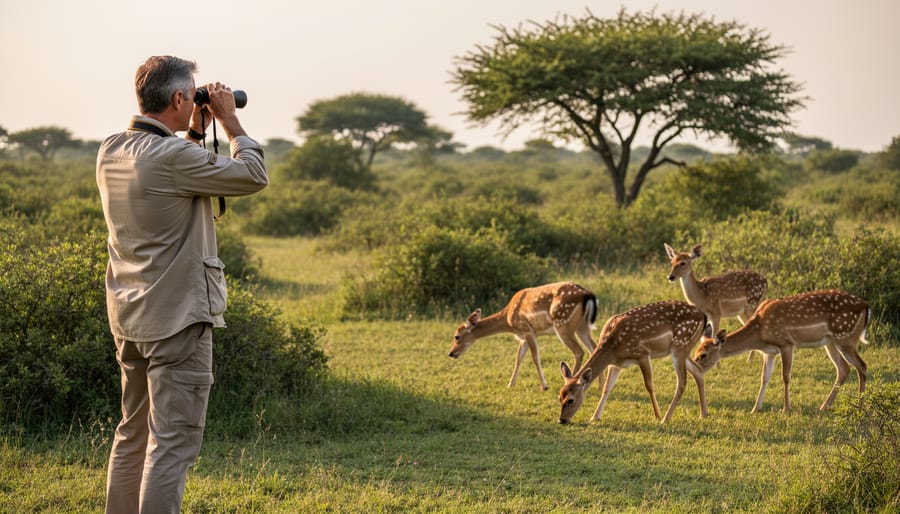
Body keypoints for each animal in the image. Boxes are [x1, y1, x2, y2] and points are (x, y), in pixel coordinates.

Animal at [448, 281, 598, 391]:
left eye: (457, 336)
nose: (451, 353)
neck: (508, 319)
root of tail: (587, 295)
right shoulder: (523, 337)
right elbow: (518, 358)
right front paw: (510, 384)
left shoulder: (527, 330)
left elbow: (535, 358)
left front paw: (544, 386)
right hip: (582, 327)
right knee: (594, 348)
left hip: (563, 325)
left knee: (579, 351)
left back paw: (570, 382)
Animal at [558, 300, 709, 424]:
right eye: (559, 397)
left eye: (571, 400)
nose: (561, 420)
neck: (612, 348)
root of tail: (703, 315)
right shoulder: (615, 364)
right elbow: (607, 388)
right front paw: (594, 417)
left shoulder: (642, 353)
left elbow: (649, 385)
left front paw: (657, 416)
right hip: (684, 349)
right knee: (698, 370)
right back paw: (703, 414)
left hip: (680, 345)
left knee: (682, 381)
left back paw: (666, 419)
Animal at [693, 289, 869, 413]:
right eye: (696, 352)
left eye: (703, 355)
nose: (696, 368)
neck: (759, 333)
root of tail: (865, 307)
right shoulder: (769, 352)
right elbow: (764, 377)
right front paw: (755, 409)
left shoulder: (787, 344)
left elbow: (785, 376)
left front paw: (785, 409)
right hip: (830, 341)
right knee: (844, 368)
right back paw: (824, 406)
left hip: (845, 337)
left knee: (862, 365)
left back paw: (860, 407)